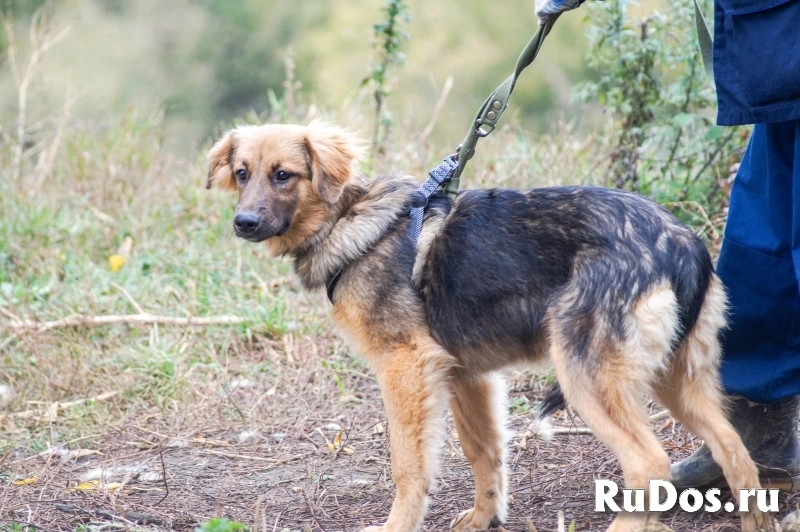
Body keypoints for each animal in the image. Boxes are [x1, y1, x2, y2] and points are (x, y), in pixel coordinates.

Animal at [206, 121, 768, 532]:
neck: (349, 219)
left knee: (650, 466)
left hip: (588, 380)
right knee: (736, 451)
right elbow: (485, 452)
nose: (243, 224)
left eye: (284, 175)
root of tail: (679, 242)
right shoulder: (466, 375)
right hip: (677, 381)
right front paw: (485, 518)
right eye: (242, 173)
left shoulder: (406, 369)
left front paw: (397, 526)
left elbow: (408, 465)